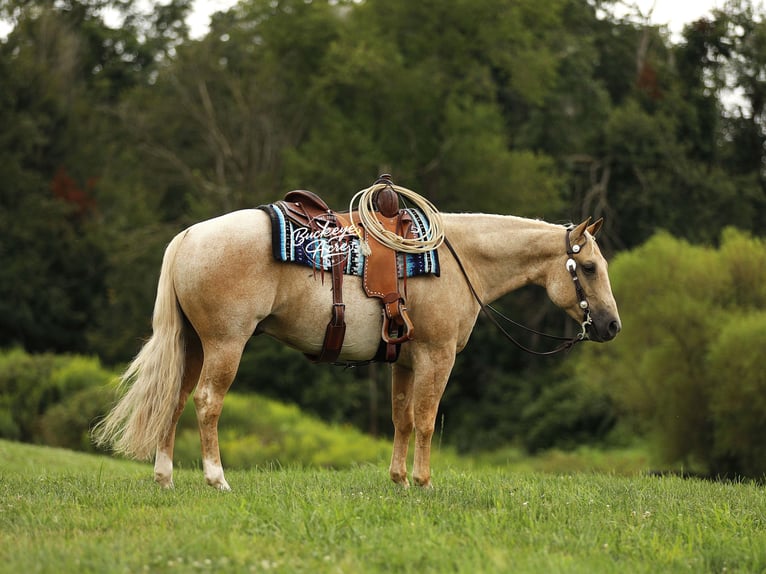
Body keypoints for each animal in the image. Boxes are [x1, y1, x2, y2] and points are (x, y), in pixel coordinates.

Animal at [93, 208, 621, 490]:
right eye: (590, 267)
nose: (612, 326)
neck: (458, 261)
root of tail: (188, 236)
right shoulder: (437, 357)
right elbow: (426, 420)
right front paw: (425, 483)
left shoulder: (405, 362)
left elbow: (402, 420)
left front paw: (400, 481)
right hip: (225, 344)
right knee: (207, 403)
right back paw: (216, 478)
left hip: (194, 346)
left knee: (174, 401)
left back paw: (165, 477)